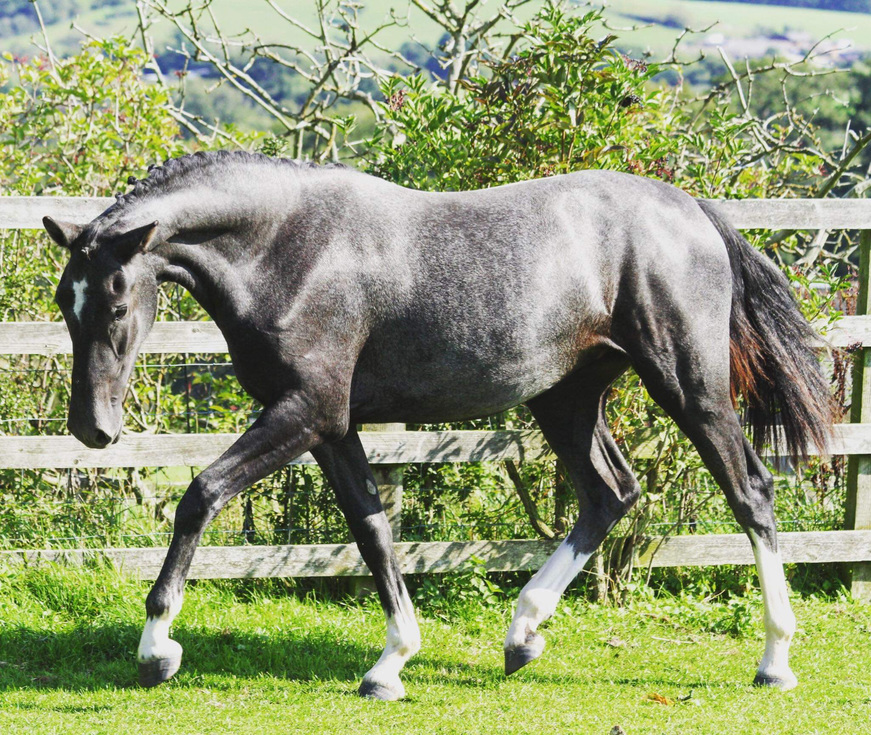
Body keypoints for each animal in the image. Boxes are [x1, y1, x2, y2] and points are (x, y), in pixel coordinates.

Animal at [43, 150, 831, 700]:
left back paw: (774, 659)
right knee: (609, 494)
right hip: (565, 397)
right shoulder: (332, 428)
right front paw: (389, 665)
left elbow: (201, 494)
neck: (291, 248)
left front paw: (157, 650)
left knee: (750, 491)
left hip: (688, 386)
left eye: (117, 303)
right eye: (63, 302)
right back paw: (521, 635)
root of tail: (690, 210)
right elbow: (372, 530)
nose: (92, 428)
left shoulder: (305, 413)